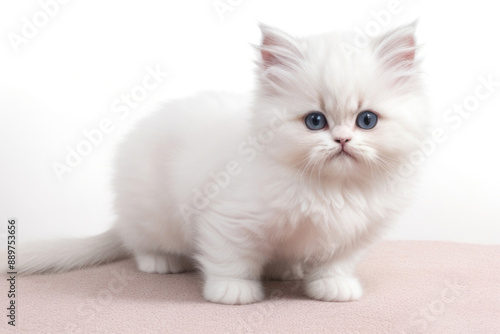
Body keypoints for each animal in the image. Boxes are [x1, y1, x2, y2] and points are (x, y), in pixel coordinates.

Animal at [17, 22, 428, 306]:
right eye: (315, 121)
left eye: (366, 120)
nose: (342, 141)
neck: (333, 189)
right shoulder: (229, 220)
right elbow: (232, 260)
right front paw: (233, 291)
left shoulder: (355, 233)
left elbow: (336, 262)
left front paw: (333, 286)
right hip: (151, 212)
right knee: (139, 243)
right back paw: (161, 261)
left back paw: (284, 270)